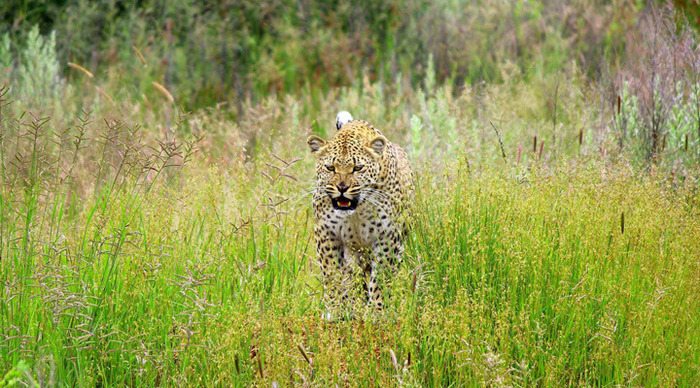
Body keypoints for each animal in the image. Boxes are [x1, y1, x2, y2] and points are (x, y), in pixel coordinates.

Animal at [308, 110, 416, 316]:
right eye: (330, 168)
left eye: (357, 168)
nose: (342, 188)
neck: (356, 212)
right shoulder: (326, 233)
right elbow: (332, 273)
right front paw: (336, 309)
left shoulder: (387, 237)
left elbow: (381, 277)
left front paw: (378, 310)